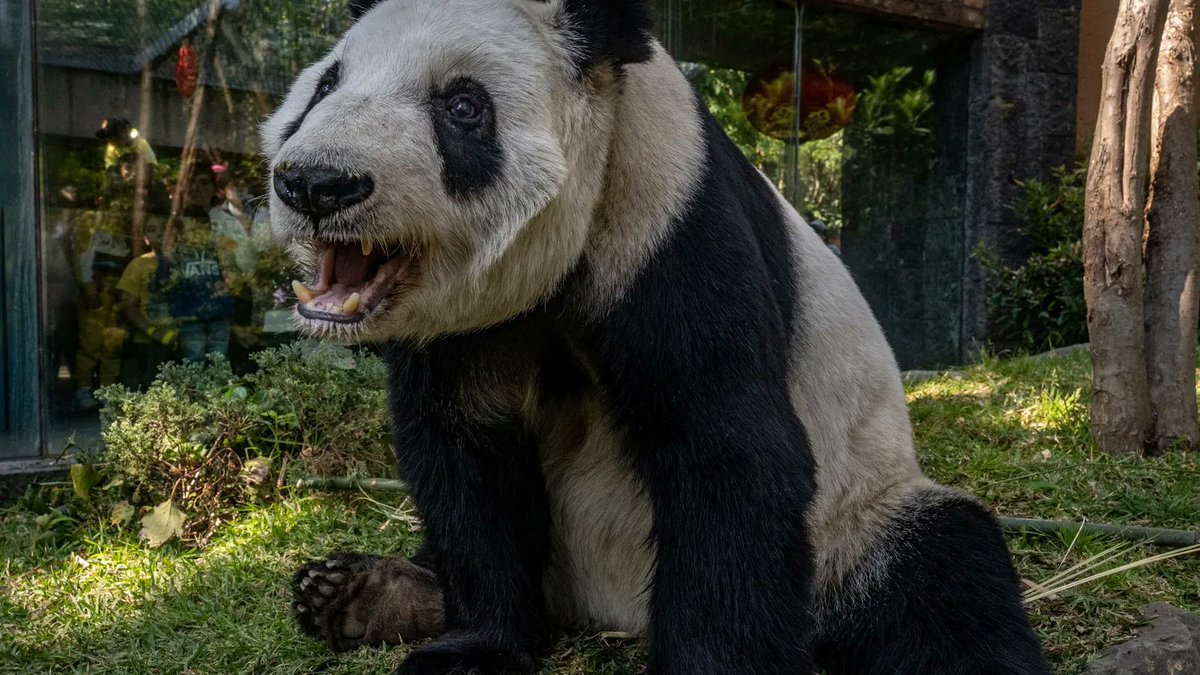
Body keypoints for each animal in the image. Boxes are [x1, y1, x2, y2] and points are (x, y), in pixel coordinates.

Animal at [262, 0, 1050, 673]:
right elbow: (466, 455)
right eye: (326, 84)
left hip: (854, 520)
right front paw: (472, 648)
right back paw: (357, 593)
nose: (318, 183)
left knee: (943, 572)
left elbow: (724, 446)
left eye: (461, 106)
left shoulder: (666, 217)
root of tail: (607, 611)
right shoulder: (465, 325)